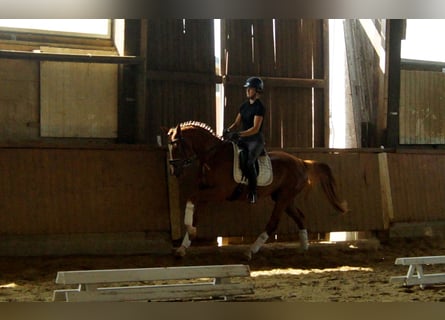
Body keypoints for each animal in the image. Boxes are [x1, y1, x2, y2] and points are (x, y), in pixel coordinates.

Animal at [166, 121, 346, 258]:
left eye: (176, 146)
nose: (174, 171)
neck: (212, 156)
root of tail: (301, 162)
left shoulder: (219, 192)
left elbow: (190, 198)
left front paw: (190, 231)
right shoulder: (205, 191)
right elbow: (194, 212)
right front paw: (183, 245)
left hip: (283, 198)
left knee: (273, 223)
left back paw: (250, 251)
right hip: (284, 198)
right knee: (300, 216)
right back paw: (304, 247)